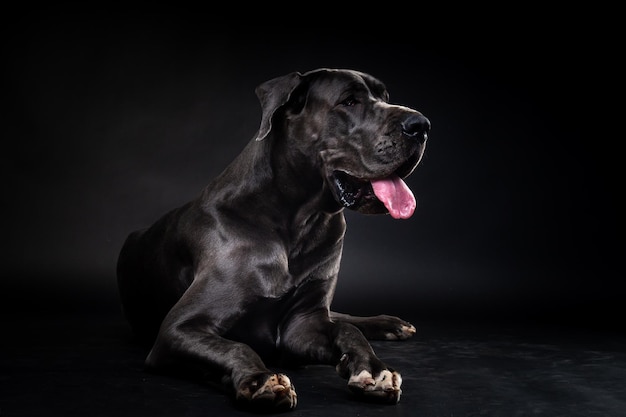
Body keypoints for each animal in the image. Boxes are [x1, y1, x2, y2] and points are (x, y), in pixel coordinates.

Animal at [117, 68, 428, 410]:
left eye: (385, 98)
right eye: (349, 101)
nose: (422, 126)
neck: (295, 222)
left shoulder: (302, 324)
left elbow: (346, 330)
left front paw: (373, 369)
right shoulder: (178, 328)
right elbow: (236, 346)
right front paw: (259, 378)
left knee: (341, 316)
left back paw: (390, 323)